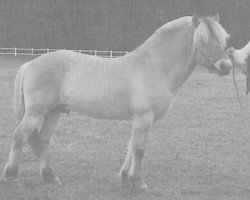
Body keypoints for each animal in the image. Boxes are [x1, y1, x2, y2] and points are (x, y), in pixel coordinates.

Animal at [3, 13, 230, 192]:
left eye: (223, 40)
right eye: (203, 40)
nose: (226, 67)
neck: (154, 66)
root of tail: (31, 63)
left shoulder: (139, 119)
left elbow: (131, 146)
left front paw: (125, 178)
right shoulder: (143, 117)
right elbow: (139, 149)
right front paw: (138, 183)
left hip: (53, 113)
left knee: (42, 140)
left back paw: (51, 177)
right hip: (35, 113)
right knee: (19, 137)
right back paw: (11, 177)